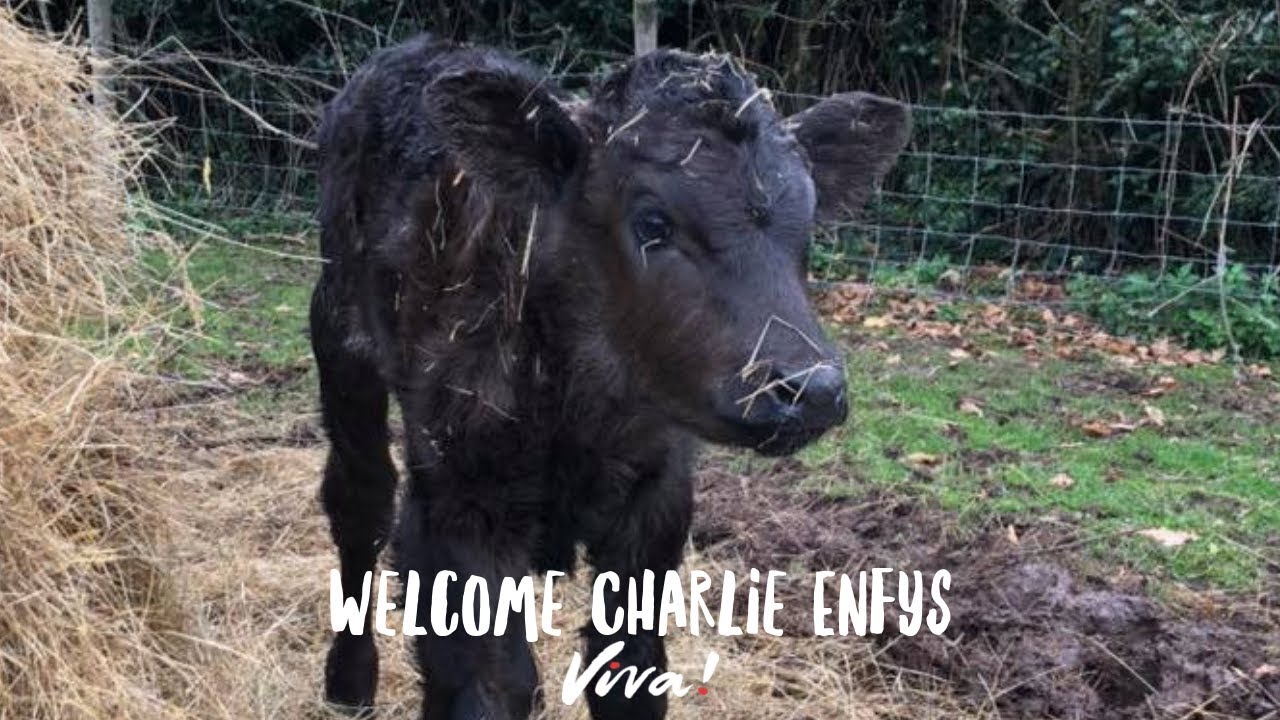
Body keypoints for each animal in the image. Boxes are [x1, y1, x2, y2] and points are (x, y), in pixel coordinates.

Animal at [310, 34, 909, 720]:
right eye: (652, 223)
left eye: (807, 230)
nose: (812, 390)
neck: (584, 412)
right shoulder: (456, 509)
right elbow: (488, 682)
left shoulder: (654, 503)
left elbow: (628, 670)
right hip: (340, 335)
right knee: (360, 502)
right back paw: (349, 681)